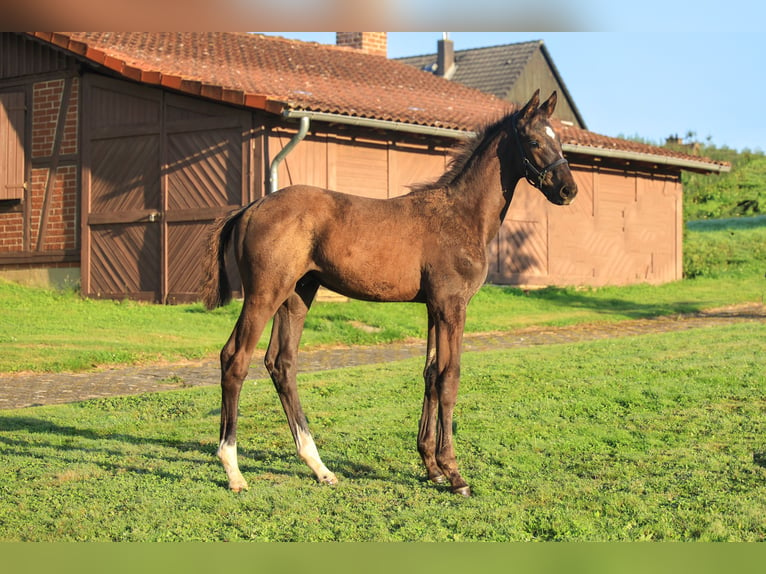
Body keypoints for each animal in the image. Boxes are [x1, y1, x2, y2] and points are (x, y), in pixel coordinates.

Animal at [204, 89, 576, 496]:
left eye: (560, 140)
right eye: (535, 141)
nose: (568, 189)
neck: (461, 214)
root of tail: (250, 208)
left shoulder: (433, 307)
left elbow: (431, 374)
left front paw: (431, 466)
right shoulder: (452, 305)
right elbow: (449, 378)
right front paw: (454, 473)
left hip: (298, 294)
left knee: (282, 364)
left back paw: (319, 467)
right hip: (264, 293)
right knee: (235, 359)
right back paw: (233, 470)